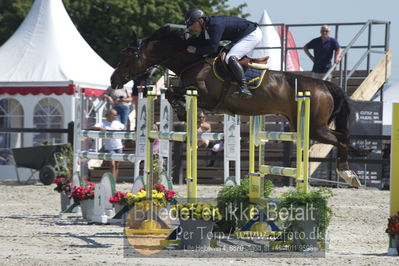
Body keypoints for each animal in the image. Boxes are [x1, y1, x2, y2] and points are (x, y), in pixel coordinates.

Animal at [111, 25, 364, 187]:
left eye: (129, 57)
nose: (114, 80)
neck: (193, 60)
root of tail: (323, 84)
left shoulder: (206, 97)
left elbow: (175, 91)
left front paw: (182, 111)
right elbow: (174, 91)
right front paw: (181, 110)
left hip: (314, 128)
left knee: (342, 141)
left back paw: (347, 173)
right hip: (309, 126)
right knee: (342, 137)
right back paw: (349, 169)